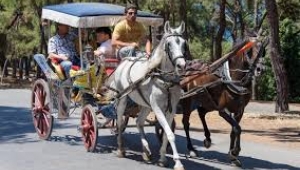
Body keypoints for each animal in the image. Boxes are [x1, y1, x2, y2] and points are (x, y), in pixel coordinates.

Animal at [110, 21, 188, 170]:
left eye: (183, 43)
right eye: (169, 44)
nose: (182, 65)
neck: (164, 80)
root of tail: (124, 61)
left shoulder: (172, 109)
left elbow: (166, 134)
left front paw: (162, 158)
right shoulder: (157, 107)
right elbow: (170, 133)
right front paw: (178, 162)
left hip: (145, 105)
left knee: (139, 122)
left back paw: (146, 151)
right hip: (122, 99)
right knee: (120, 122)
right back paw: (120, 149)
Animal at [179, 37, 268, 167]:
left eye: (263, 51)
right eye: (249, 52)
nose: (260, 69)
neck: (233, 79)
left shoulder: (239, 110)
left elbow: (234, 130)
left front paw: (233, 156)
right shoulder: (223, 110)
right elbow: (237, 128)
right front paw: (235, 152)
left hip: (208, 101)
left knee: (201, 113)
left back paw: (207, 139)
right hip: (188, 100)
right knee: (186, 122)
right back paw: (191, 148)